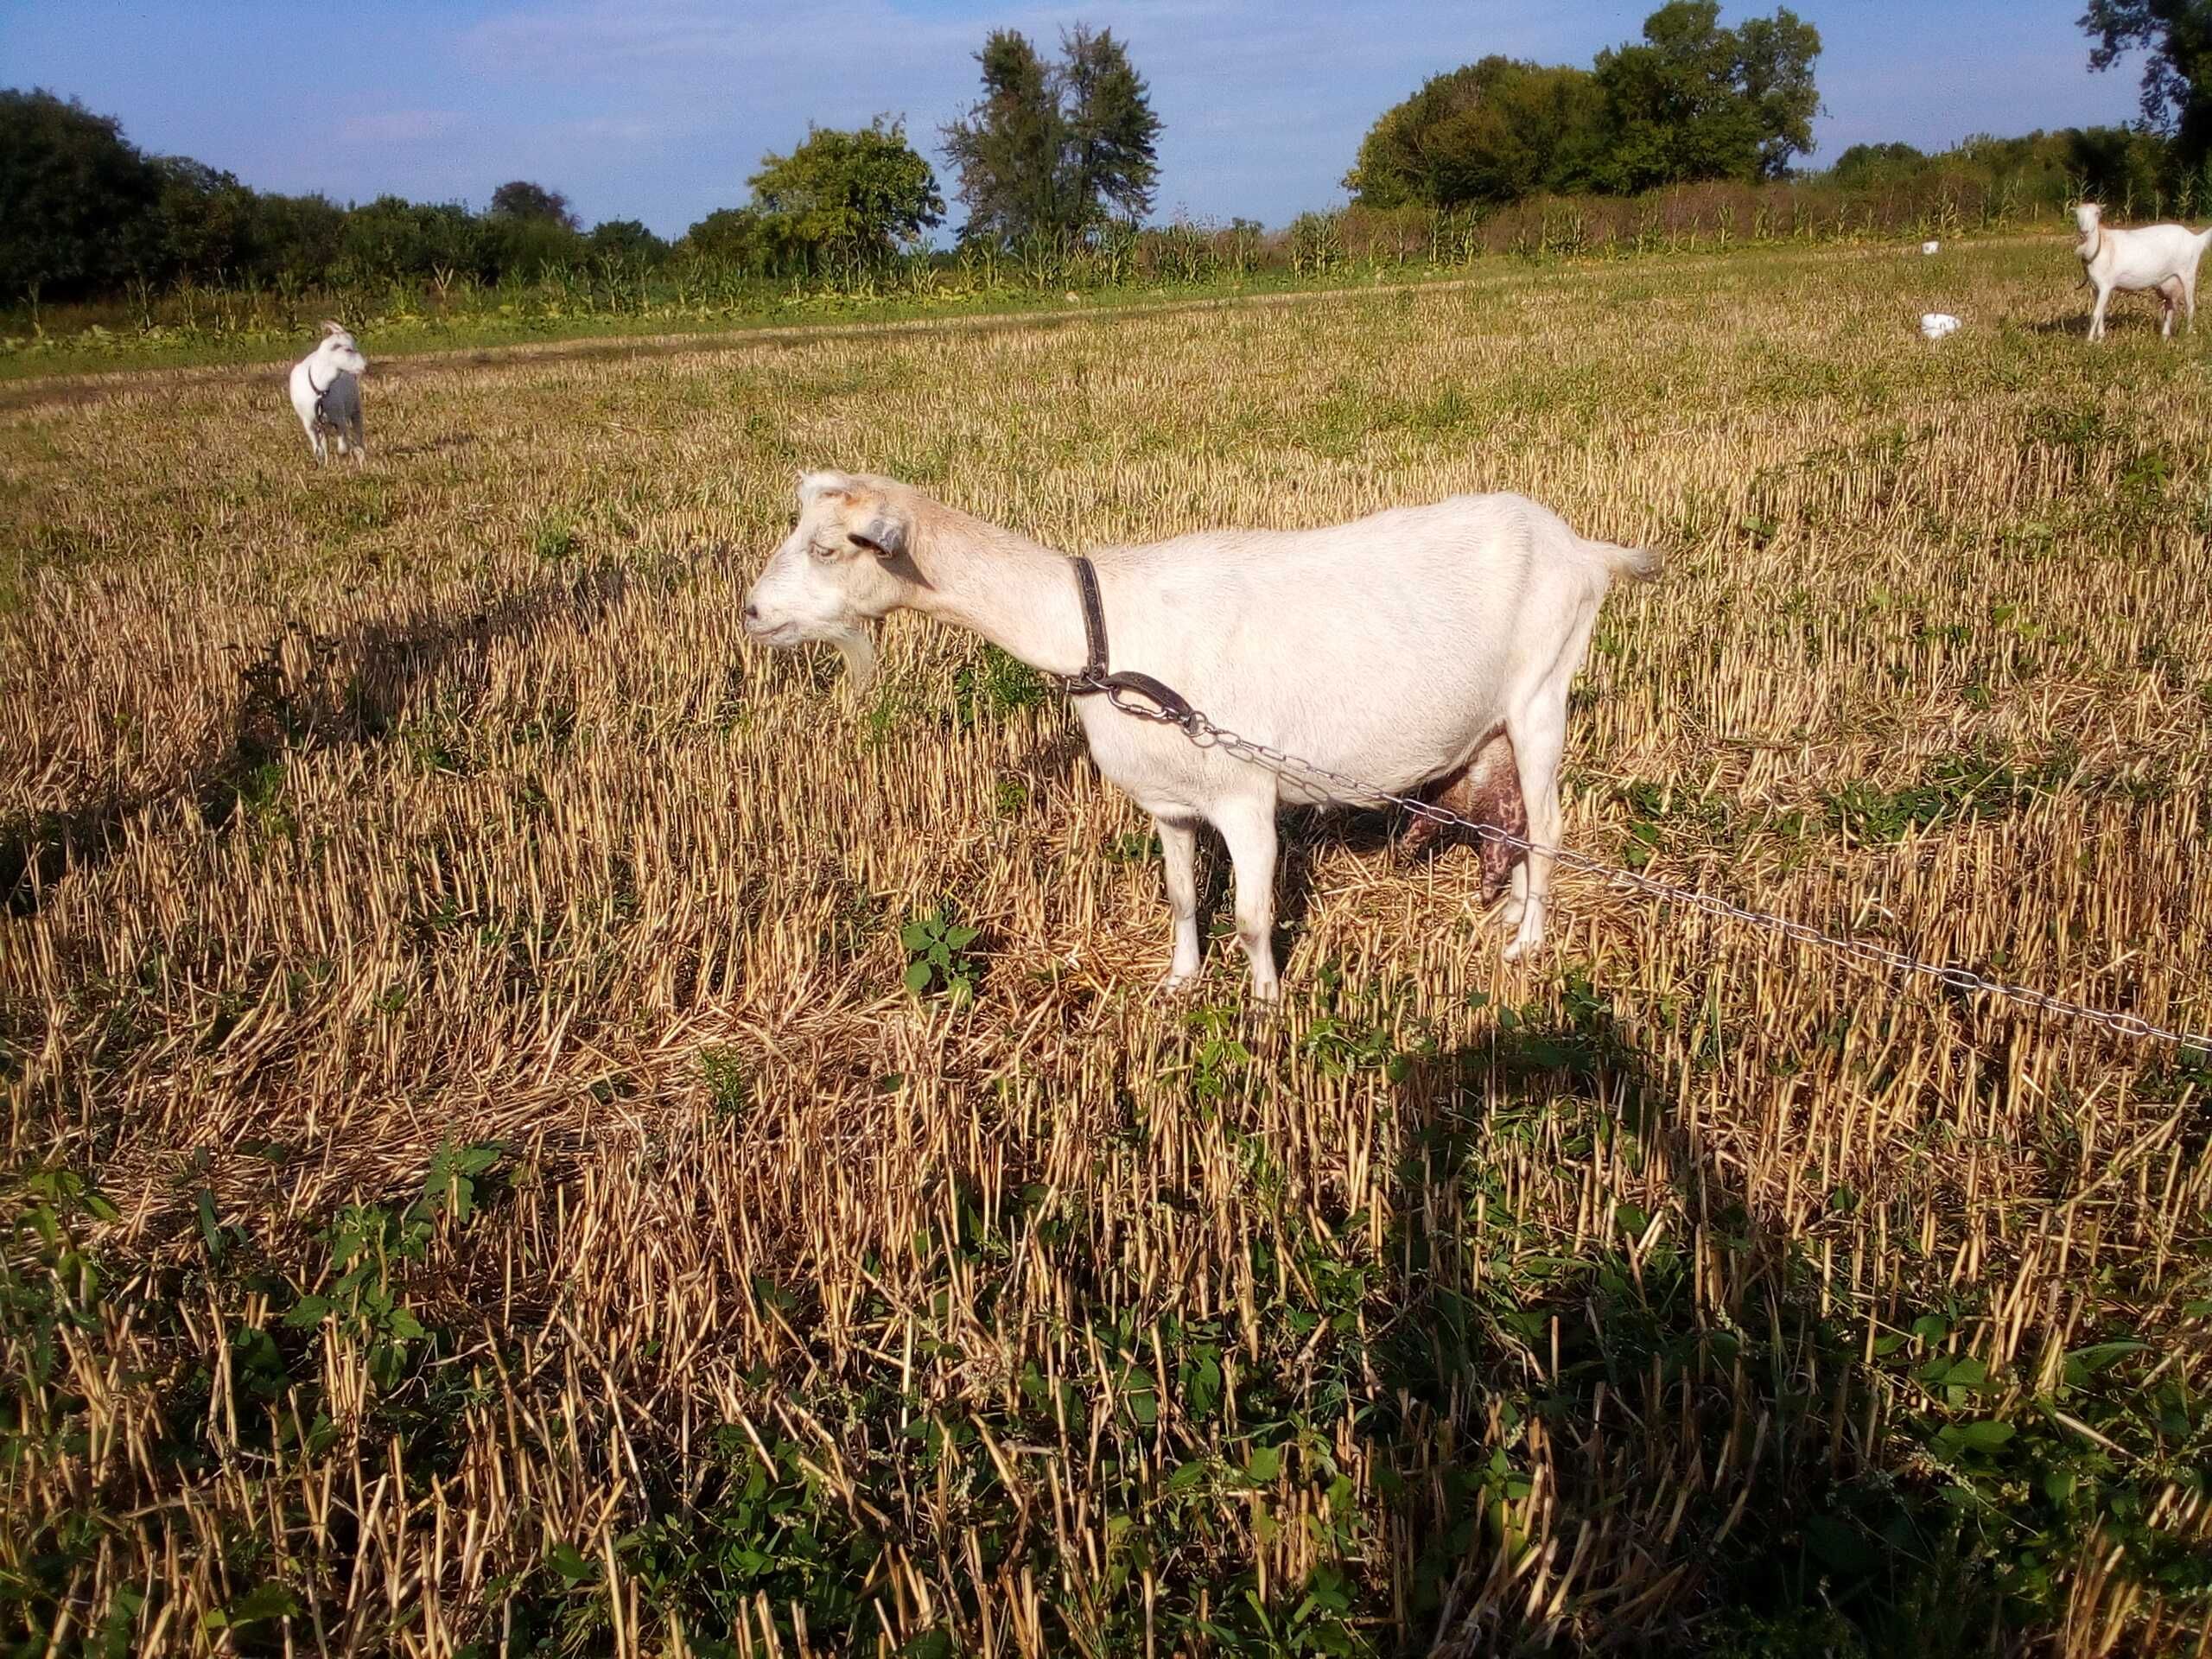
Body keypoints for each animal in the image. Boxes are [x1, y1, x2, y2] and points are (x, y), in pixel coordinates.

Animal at [289, 321, 366, 464]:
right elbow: (318, 447)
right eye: (348, 349)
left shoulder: (339, 419)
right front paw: (323, 461)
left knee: (358, 434)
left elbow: (343, 448)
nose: (365, 365)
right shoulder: (309, 423)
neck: (319, 391)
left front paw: (348, 453)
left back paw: (360, 456)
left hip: (355, 408)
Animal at [743, 471, 1663, 1000]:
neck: (1102, 631)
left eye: (827, 547)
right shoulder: (1171, 805)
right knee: (1512, 823)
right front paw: (1182, 983)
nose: (750, 613)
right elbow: (1184, 896)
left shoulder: (1246, 796)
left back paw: (1527, 942)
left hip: (1543, 690)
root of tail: (1586, 551)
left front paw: (1265, 1004)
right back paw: (1506, 911)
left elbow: (1254, 917)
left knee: (1550, 826)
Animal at [2070, 200, 2212, 340]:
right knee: (2170, 305)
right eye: (2077, 215)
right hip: (2168, 281)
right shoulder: (2096, 287)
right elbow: (2100, 313)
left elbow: (2095, 314)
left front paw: (2089, 341)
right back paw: (2165, 336)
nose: (2084, 232)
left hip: (2188, 273)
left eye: (2097, 213)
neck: (2102, 245)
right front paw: (2100, 337)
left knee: (2190, 305)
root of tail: (2196, 239)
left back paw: (2188, 335)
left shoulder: (2106, 285)